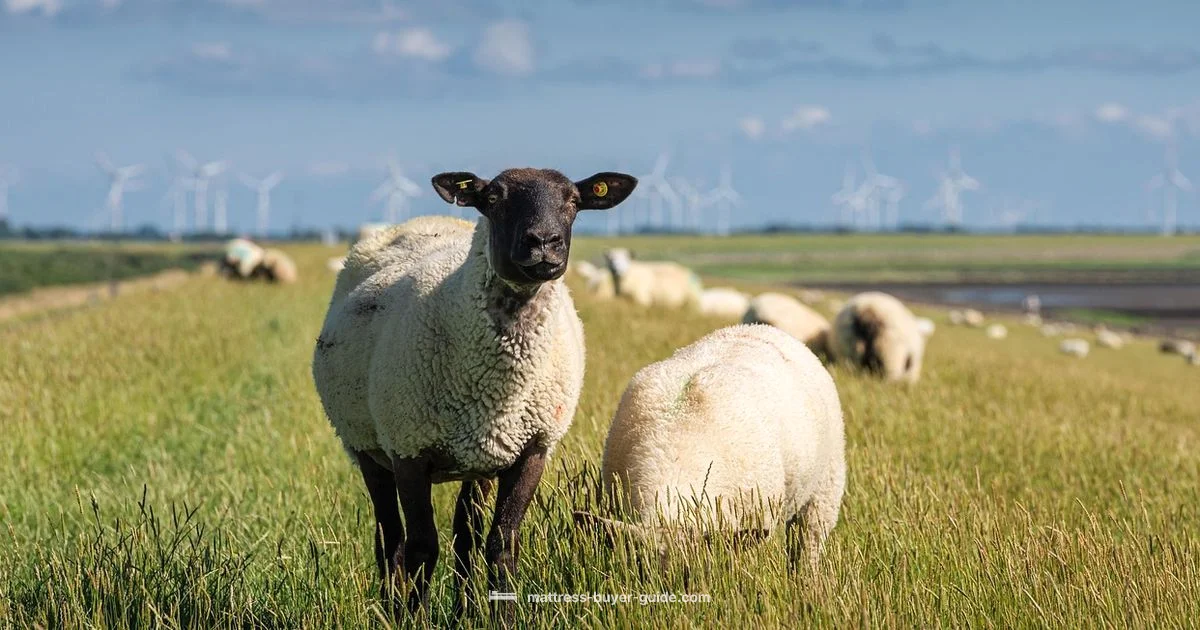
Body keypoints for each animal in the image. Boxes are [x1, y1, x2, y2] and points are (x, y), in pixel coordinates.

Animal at [311, 167, 638, 621]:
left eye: (574, 200)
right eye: (494, 197)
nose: (544, 242)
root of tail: (420, 222)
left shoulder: (532, 449)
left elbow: (502, 543)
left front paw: (502, 615)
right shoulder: (409, 450)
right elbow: (422, 548)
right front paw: (414, 617)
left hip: (479, 459)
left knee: (464, 534)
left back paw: (463, 609)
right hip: (366, 445)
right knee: (390, 537)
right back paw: (392, 608)